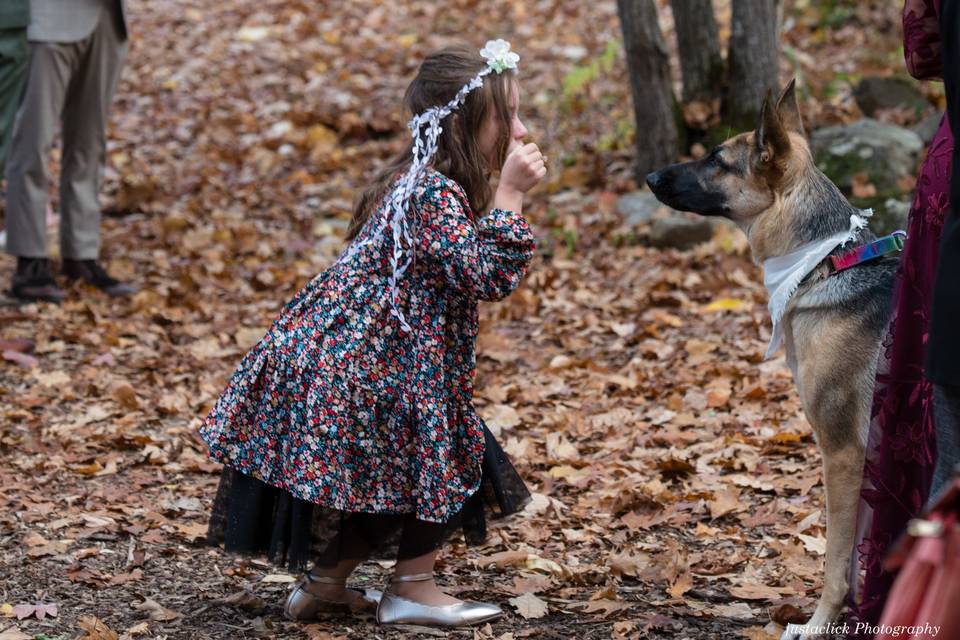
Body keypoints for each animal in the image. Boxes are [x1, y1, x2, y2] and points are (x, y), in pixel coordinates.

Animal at [644, 80, 900, 640]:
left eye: (717, 159)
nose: (649, 176)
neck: (822, 265)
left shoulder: (844, 452)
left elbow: (837, 561)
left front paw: (820, 623)